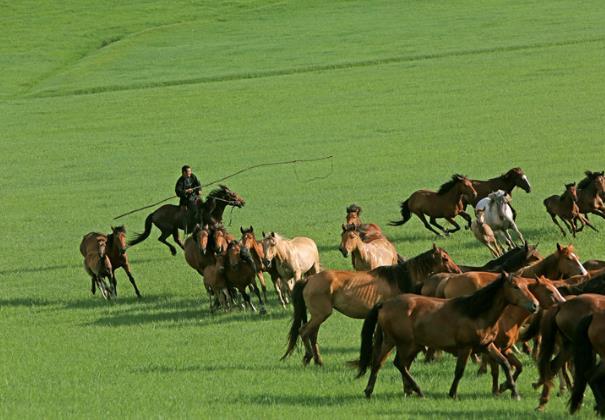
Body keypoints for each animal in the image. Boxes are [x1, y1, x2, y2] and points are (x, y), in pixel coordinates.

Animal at [280, 244, 460, 366]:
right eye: (444, 258)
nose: (457, 271)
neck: (398, 278)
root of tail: (309, 279)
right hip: (320, 315)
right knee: (304, 332)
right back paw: (309, 357)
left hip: (318, 316)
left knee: (312, 335)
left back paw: (318, 360)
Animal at [356, 272, 536, 400]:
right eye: (515, 286)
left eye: (526, 286)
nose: (534, 305)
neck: (475, 313)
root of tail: (385, 303)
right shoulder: (465, 348)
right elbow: (459, 371)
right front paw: (452, 393)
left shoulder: (487, 345)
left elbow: (505, 363)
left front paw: (514, 392)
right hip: (405, 344)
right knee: (399, 364)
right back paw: (418, 391)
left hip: (392, 342)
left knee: (379, 363)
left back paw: (372, 390)